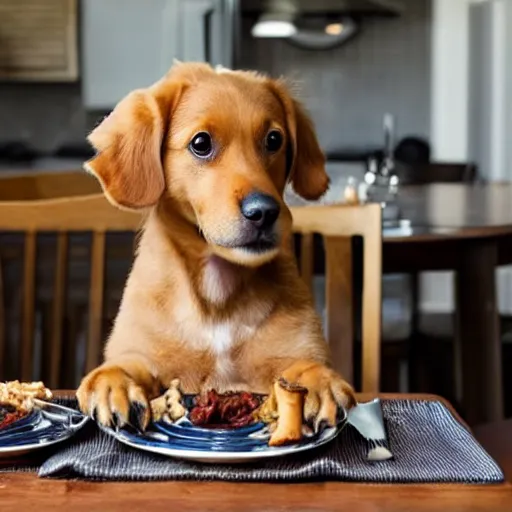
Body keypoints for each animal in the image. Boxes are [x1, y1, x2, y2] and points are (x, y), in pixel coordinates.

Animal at [77, 63, 356, 432]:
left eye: (274, 139)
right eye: (201, 143)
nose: (264, 212)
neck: (218, 295)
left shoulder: (297, 349)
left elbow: (306, 365)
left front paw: (319, 381)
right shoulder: (139, 351)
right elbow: (122, 365)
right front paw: (113, 384)